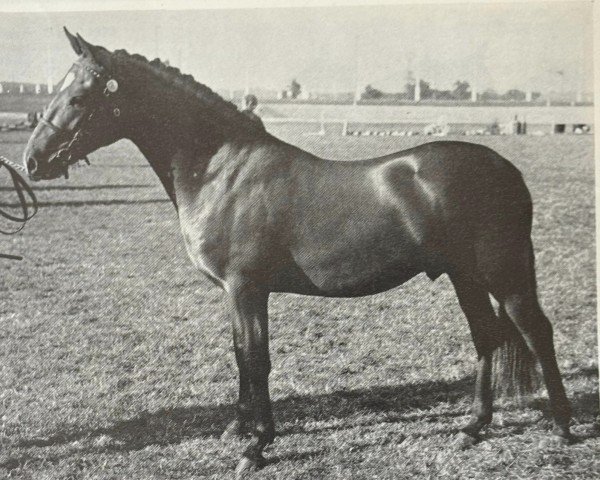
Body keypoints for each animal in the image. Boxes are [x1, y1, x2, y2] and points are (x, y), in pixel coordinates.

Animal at [23, 30, 576, 476]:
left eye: (79, 96)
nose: (32, 161)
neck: (222, 171)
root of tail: (508, 170)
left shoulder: (247, 288)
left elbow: (256, 356)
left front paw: (257, 447)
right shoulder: (234, 292)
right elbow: (239, 354)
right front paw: (238, 429)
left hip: (504, 274)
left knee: (535, 331)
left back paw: (564, 427)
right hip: (465, 277)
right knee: (486, 337)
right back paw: (473, 427)